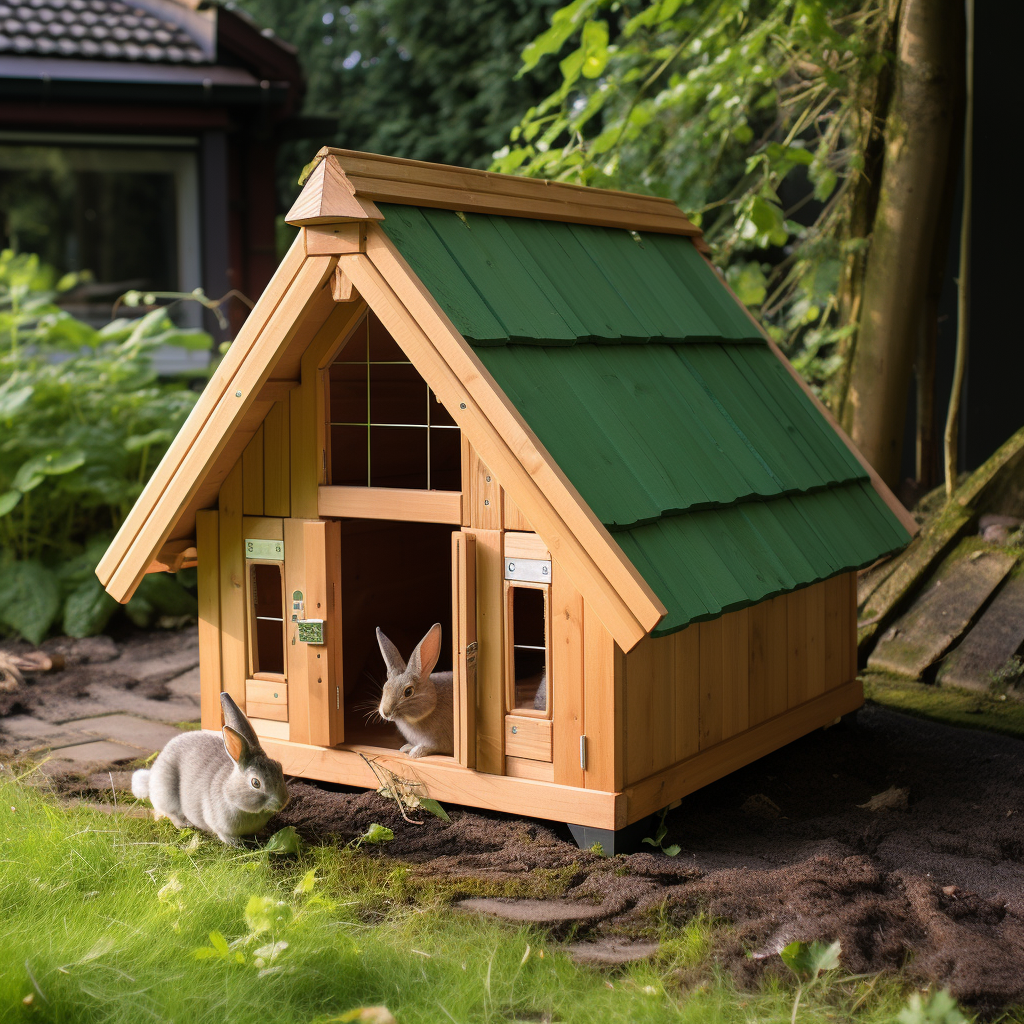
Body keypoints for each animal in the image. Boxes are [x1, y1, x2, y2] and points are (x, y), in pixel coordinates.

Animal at [130, 692, 288, 843]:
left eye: (279, 767)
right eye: (255, 783)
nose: (282, 802)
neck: (230, 794)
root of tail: (151, 777)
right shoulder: (218, 824)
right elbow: (224, 835)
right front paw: (236, 843)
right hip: (166, 792)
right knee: (169, 812)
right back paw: (184, 824)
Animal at [376, 618, 452, 757]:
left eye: (408, 691)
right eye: (385, 687)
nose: (385, 712)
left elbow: (430, 747)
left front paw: (415, 752)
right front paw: (406, 748)